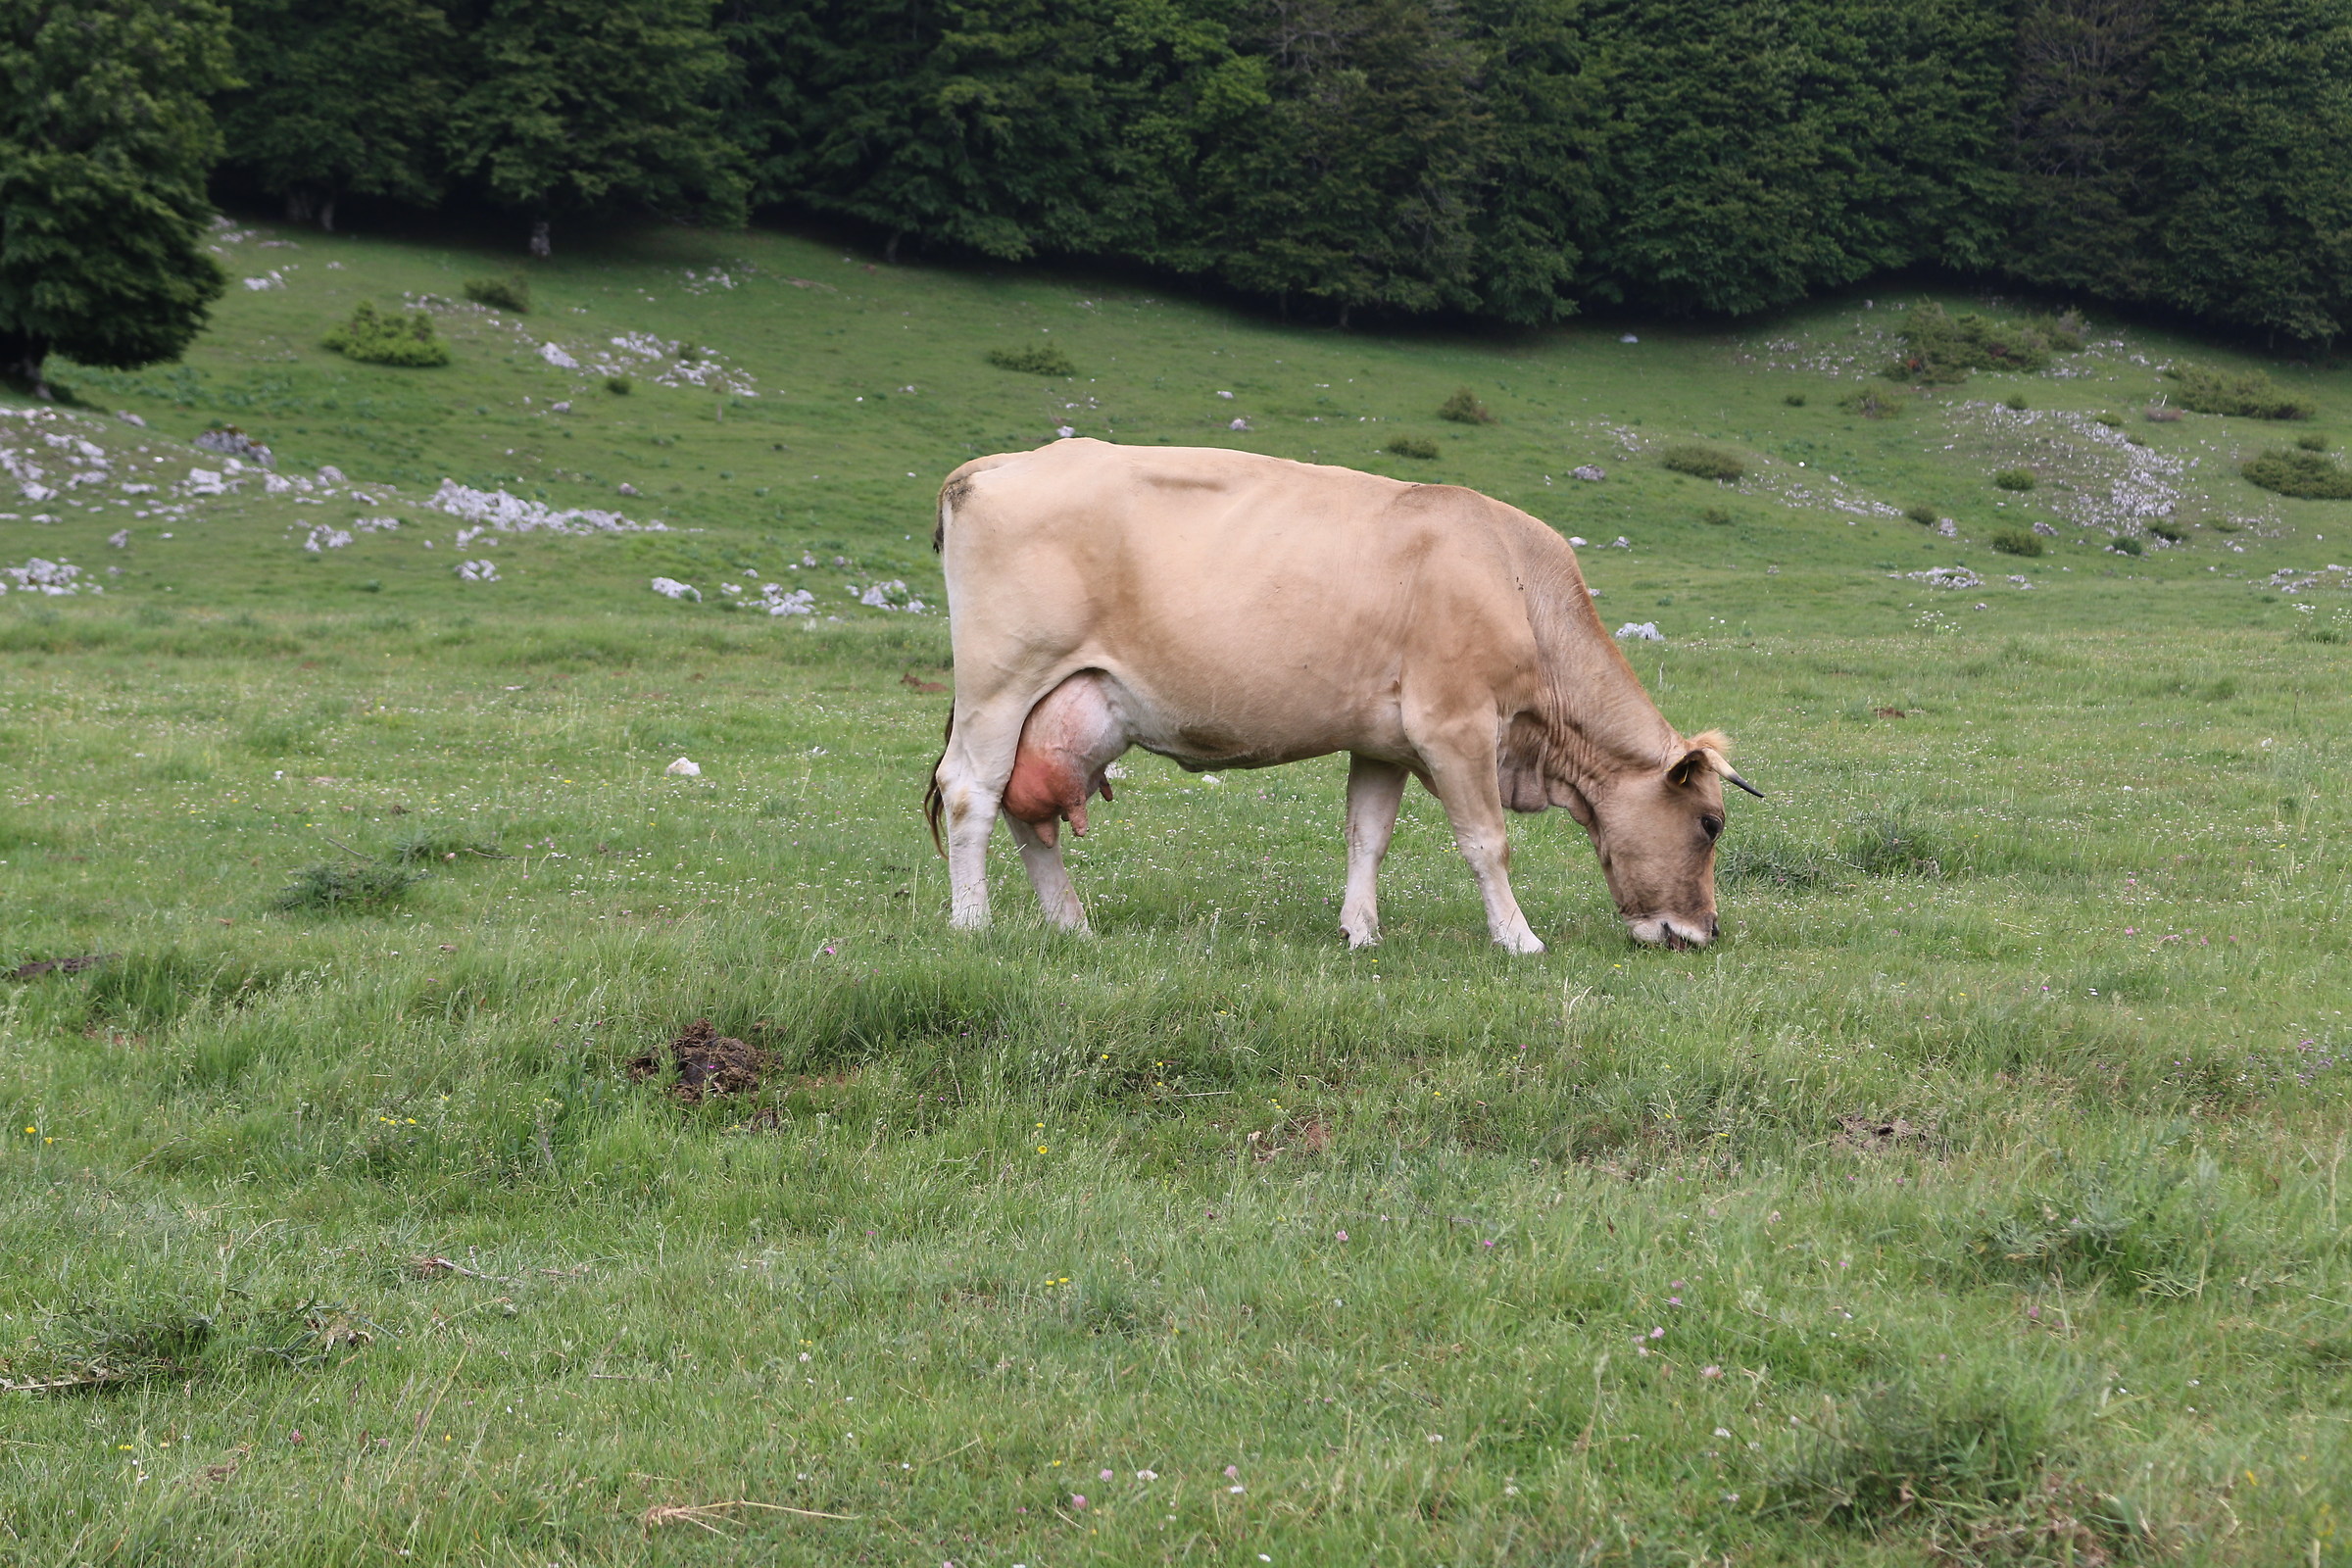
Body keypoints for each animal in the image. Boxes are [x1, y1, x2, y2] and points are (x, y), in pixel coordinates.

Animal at [922, 439, 1759, 952]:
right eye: (1710, 823)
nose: (1706, 931)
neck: (1518, 582)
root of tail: (994, 465)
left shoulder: (1383, 740)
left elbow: (1368, 835)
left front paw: (1361, 931)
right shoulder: (1454, 724)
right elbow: (1486, 840)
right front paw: (1519, 938)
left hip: (1068, 706)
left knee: (1028, 812)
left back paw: (1072, 926)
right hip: (1001, 683)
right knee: (971, 792)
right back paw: (973, 924)